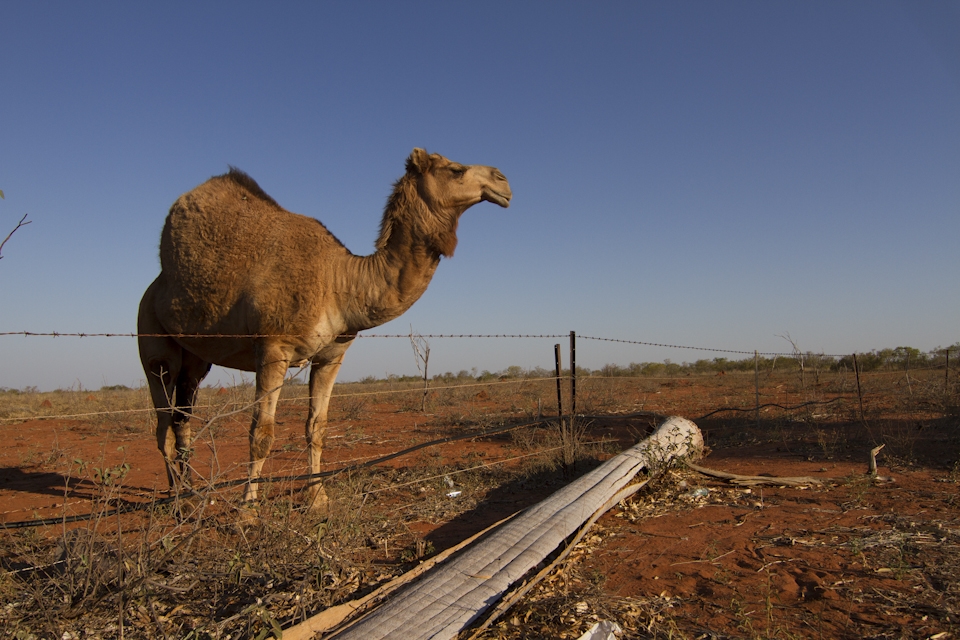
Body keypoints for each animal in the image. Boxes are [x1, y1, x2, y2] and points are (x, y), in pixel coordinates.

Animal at [138, 149, 511, 513]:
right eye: (456, 170)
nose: (503, 182)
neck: (341, 284)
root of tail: (154, 288)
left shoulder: (331, 357)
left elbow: (316, 428)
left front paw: (318, 497)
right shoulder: (272, 349)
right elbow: (262, 433)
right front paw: (248, 510)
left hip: (196, 360)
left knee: (182, 419)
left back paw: (189, 493)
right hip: (154, 343)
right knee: (163, 422)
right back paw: (176, 501)